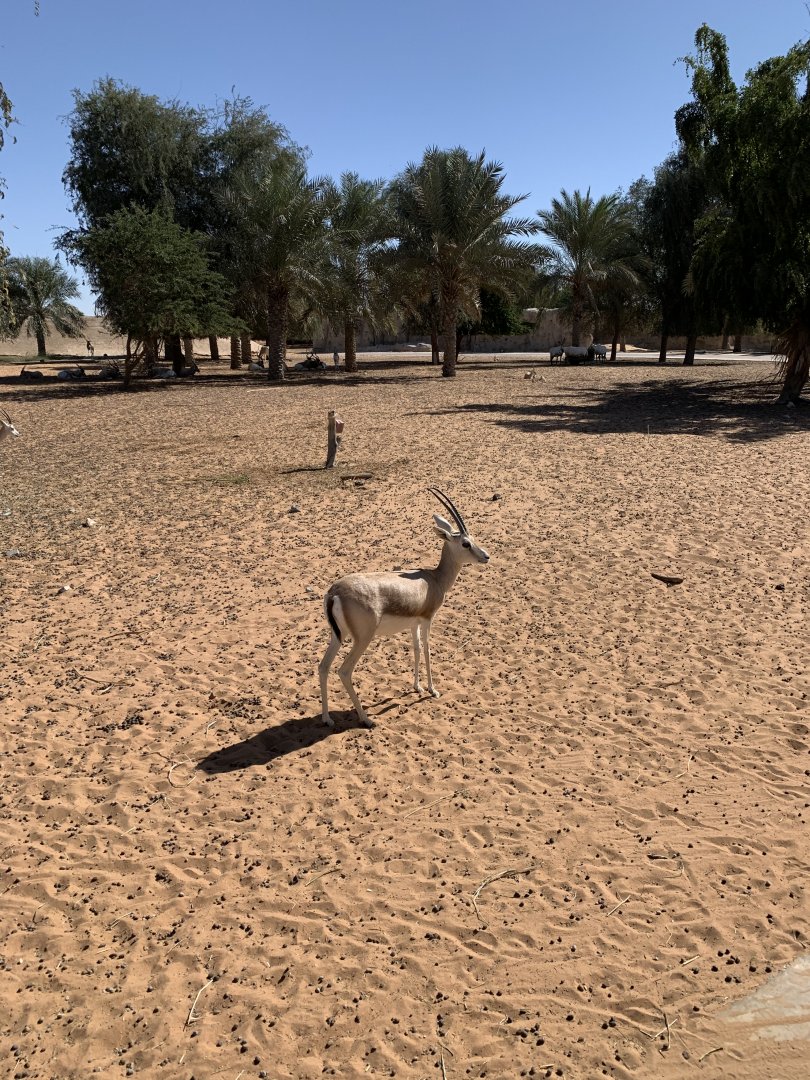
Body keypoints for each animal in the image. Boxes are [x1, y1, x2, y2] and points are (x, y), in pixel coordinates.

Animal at [319, 487, 490, 728]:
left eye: (472, 539)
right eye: (466, 543)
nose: (486, 556)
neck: (433, 579)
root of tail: (335, 592)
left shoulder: (414, 623)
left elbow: (416, 649)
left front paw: (417, 687)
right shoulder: (427, 619)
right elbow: (427, 649)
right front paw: (433, 690)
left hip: (337, 636)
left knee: (323, 667)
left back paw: (327, 719)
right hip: (362, 639)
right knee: (344, 671)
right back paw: (366, 719)